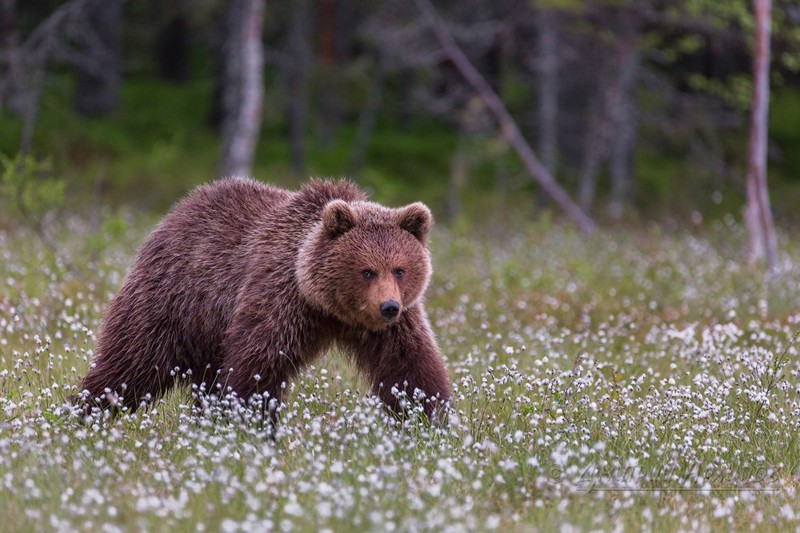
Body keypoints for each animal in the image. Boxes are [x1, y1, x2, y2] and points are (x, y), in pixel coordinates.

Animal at [73, 177, 450, 422]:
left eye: (399, 269)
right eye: (367, 271)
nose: (388, 307)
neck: (329, 308)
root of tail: (174, 214)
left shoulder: (392, 324)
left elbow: (410, 363)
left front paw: (429, 420)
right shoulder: (279, 294)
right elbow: (259, 362)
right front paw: (253, 424)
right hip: (173, 300)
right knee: (131, 362)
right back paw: (84, 412)